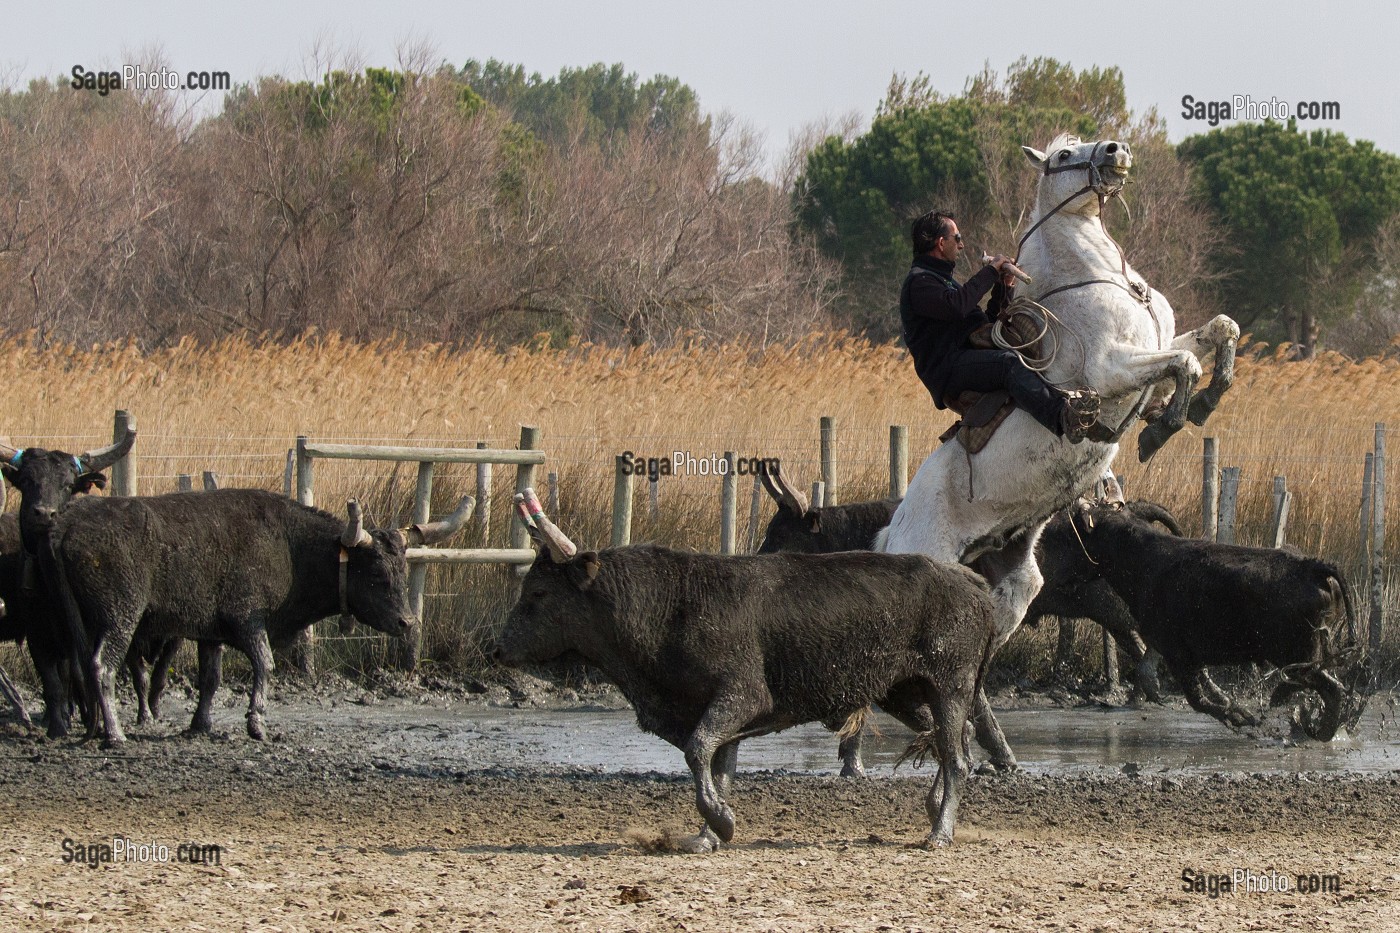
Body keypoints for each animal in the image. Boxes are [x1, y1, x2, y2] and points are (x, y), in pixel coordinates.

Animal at [879, 132, 1243, 762]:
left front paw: (1203, 401)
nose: (1116, 151)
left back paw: (994, 755)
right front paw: (1166, 422)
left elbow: (1219, 332)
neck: (1101, 280)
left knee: (972, 671)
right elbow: (1184, 362)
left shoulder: (1155, 348)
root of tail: (892, 532)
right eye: (1063, 157)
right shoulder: (1112, 368)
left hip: (1012, 587)